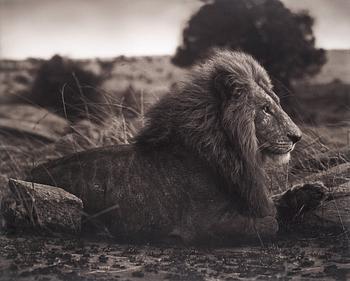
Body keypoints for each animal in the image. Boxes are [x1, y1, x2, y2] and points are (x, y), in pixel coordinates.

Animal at [29, 49, 304, 243]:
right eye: (265, 109)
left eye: (276, 103)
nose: (297, 136)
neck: (231, 149)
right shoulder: (201, 225)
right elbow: (271, 223)